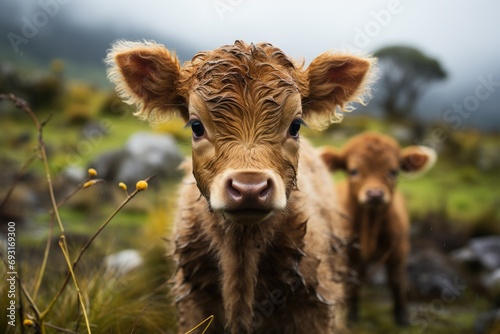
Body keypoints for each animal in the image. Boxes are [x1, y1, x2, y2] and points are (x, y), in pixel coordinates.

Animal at [320, 132, 434, 324]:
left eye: (393, 171)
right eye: (353, 171)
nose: (375, 194)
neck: (370, 226)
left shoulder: (399, 250)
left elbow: (397, 281)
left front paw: (402, 317)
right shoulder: (347, 254)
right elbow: (350, 281)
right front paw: (351, 315)